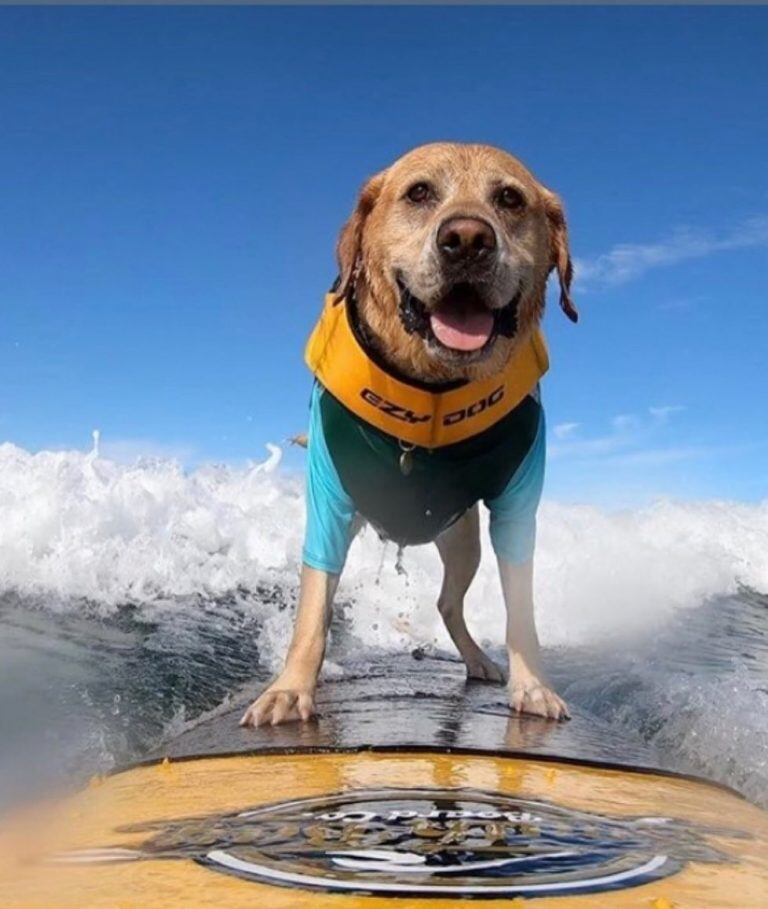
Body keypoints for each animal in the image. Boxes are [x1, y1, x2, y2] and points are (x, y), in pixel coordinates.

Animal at [240, 142, 576, 728]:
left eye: (510, 199)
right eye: (419, 193)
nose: (467, 240)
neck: (432, 387)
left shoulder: (517, 505)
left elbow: (521, 607)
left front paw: (532, 684)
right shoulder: (329, 498)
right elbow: (314, 608)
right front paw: (290, 687)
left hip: (463, 540)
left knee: (448, 602)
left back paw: (477, 660)